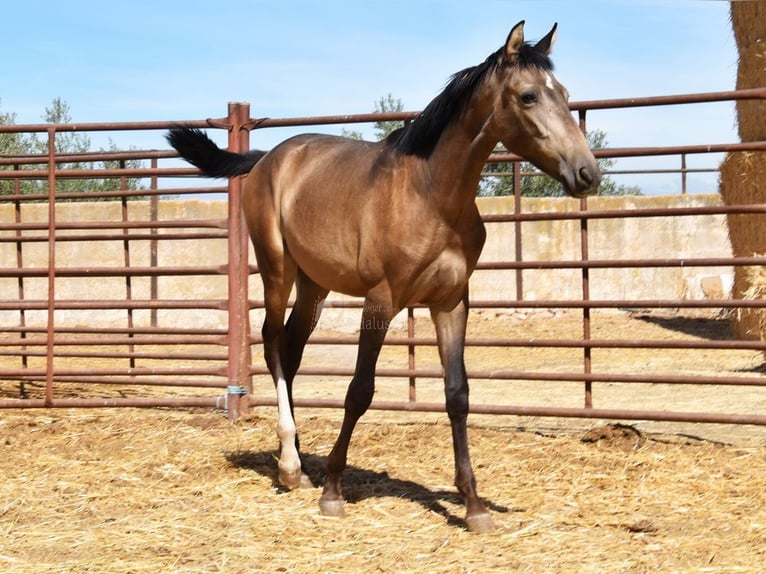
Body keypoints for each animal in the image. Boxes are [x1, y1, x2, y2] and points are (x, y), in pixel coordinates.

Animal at [166, 22, 600, 536]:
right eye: (530, 96)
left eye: (566, 94)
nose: (587, 173)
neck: (432, 196)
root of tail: (271, 156)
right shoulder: (381, 301)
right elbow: (360, 391)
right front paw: (334, 492)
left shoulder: (451, 302)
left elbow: (458, 394)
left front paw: (473, 506)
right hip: (277, 269)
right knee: (272, 343)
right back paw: (291, 467)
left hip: (314, 284)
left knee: (291, 349)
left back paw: (294, 463)